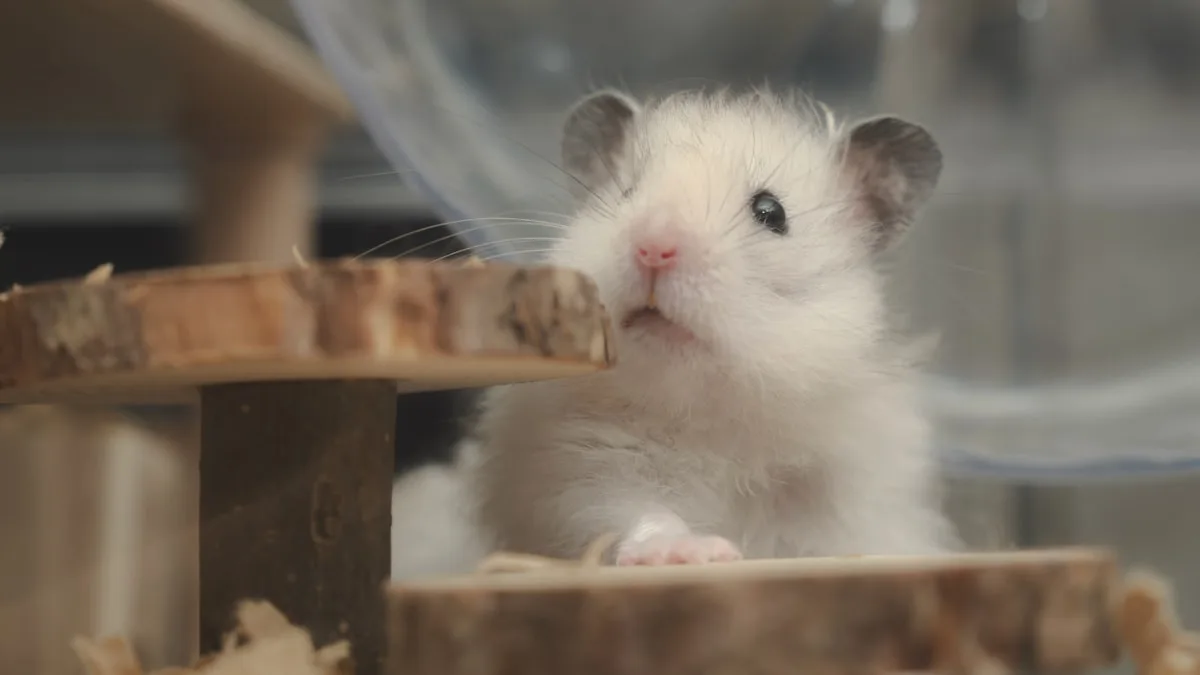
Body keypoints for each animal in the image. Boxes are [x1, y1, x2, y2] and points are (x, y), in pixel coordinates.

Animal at [470, 87, 959, 565]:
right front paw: (699, 553)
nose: (653, 249)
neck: (714, 413)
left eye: (771, 212)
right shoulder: (585, 470)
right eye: (626, 193)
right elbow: (639, 514)